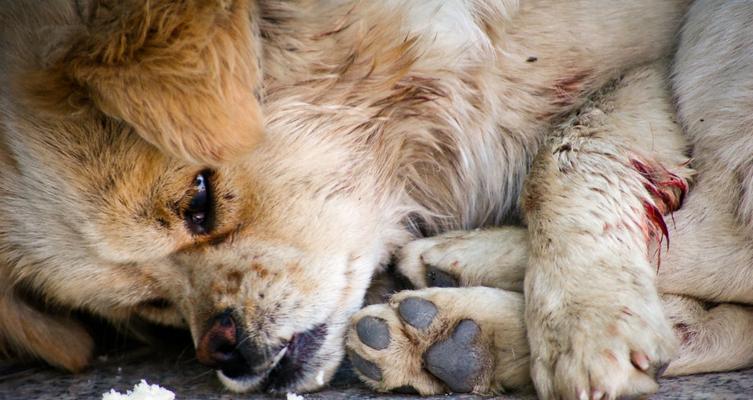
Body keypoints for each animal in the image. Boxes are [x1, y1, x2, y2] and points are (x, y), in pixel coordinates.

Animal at [2, 0, 748, 398]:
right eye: (152, 304)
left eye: (199, 200)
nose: (222, 349)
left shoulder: (655, 56)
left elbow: (562, 156)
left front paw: (587, 320)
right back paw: (454, 333)